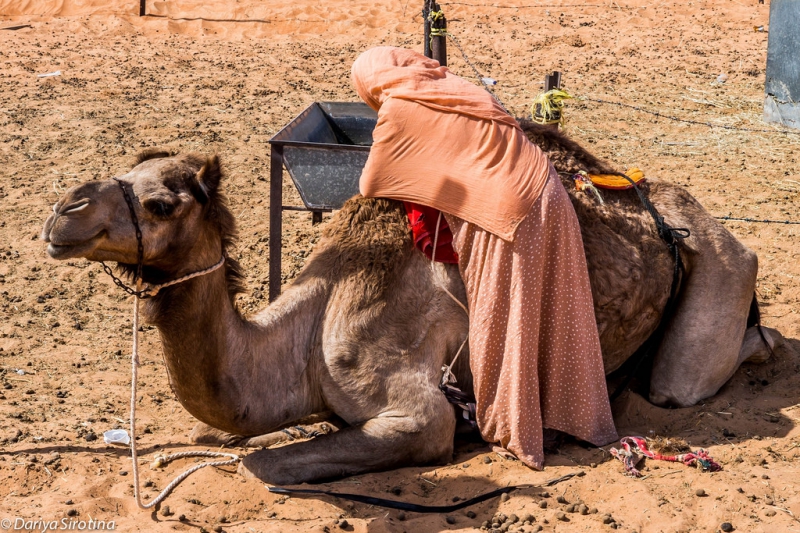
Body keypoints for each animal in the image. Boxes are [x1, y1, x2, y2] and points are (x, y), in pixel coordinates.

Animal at [39, 122, 780, 484]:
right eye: (125, 172)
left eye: (161, 202)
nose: (61, 213)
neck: (308, 329)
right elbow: (222, 435)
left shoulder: (414, 407)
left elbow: (264, 463)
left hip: (719, 273)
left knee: (687, 375)